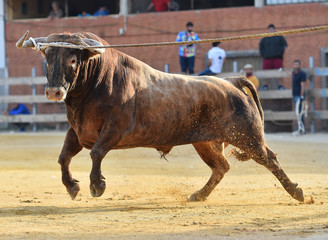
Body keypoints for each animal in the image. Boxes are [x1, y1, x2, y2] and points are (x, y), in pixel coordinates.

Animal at [16, 31, 304, 202]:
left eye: (73, 60)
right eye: (46, 58)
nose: (53, 92)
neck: (95, 83)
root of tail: (231, 81)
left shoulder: (114, 129)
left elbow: (96, 153)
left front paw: (97, 185)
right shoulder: (78, 130)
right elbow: (64, 157)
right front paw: (72, 186)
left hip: (246, 136)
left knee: (269, 159)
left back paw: (297, 192)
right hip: (205, 142)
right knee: (221, 166)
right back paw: (199, 195)